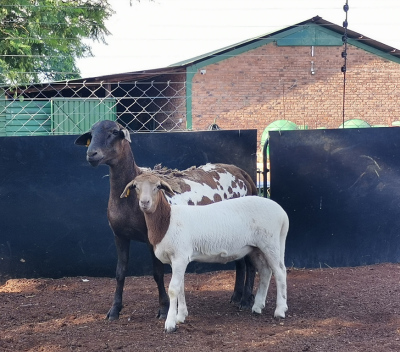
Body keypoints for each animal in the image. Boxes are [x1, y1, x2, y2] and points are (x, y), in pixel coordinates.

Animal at [74, 119, 256, 320]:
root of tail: (241, 173)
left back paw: (246, 300)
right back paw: (236, 296)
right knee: (240, 261)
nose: (91, 154)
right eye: (91, 134)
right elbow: (120, 273)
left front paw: (163, 309)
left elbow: (158, 273)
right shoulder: (119, 236)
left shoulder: (152, 238)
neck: (128, 197)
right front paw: (114, 310)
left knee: (249, 262)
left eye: (114, 132)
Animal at [120, 173, 290, 332]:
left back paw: (280, 310)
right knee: (266, 271)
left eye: (157, 187)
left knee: (280, 271)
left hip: (271, 242)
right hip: (255, 248)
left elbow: (173, 289)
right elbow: (181, 287)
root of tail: (282, 213)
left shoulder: (180, 256)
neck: (166, 221)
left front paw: (170, 323)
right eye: (136, 187)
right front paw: (181, 316)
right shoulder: (177, 259)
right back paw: (258, 306)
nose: (145, 203)